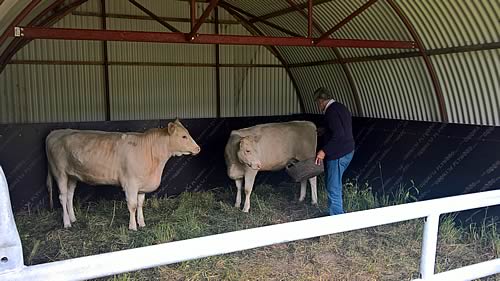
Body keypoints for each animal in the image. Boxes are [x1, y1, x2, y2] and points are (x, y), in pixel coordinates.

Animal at [45, 118, 200, 230]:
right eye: (184, 136)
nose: (198, 148)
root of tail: (55, 132)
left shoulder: (142, 185)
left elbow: (140, 204)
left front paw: (142, 223)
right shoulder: (130, 183)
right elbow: (132, 205)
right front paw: (132, 226)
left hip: (72, 175)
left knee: (69, 196)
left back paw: (73, 218)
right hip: (60, 173)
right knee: (62, 197)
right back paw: (66, 223)